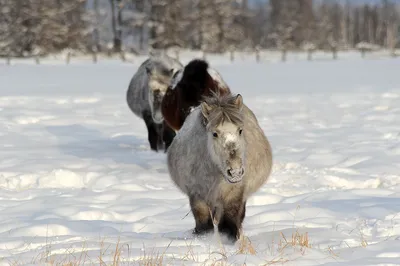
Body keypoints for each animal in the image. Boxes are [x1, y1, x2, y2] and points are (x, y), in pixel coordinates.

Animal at [166, 92, 272, 242]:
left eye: (240, 130)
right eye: (214, 134)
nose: (235, 172)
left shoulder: (234, 194)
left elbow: (228, 225)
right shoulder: (197, 195)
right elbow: (204, 225)